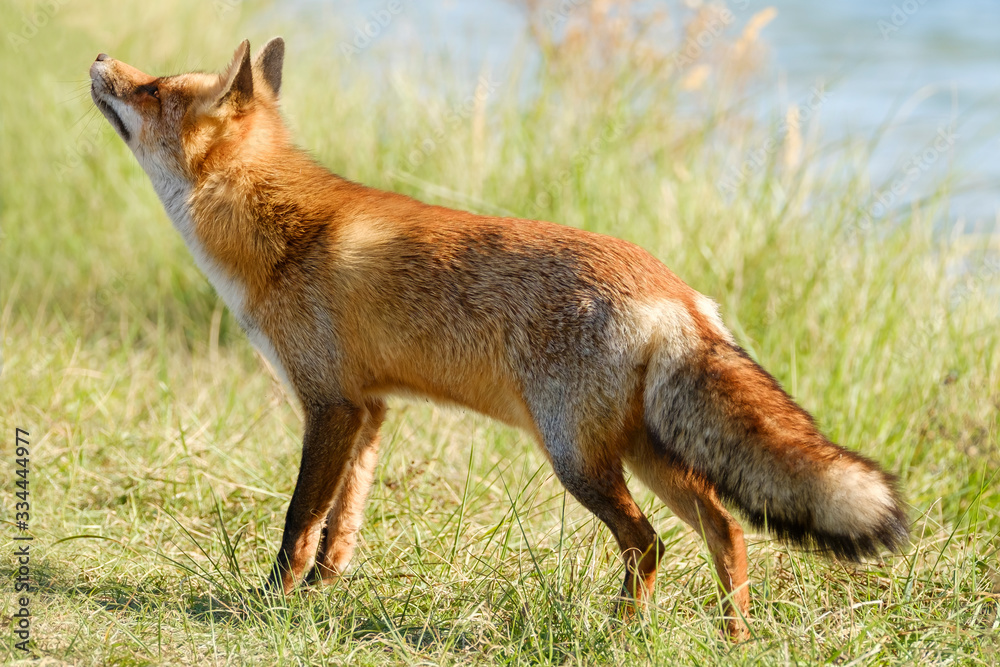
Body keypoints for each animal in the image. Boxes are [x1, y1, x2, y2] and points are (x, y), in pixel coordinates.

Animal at [89, 38, 908, 640]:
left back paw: (618, 636)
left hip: (576, 458)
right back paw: (733, 640)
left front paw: (269, 604)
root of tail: (678, 294)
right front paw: (322, 593)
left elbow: (299, 520)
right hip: (643, 456)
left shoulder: (329, 405)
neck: (278, 233)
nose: (99, 59)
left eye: (154, 89)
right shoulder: (369, 408)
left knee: (649, 544)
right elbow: (342, 525)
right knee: (727, 533)